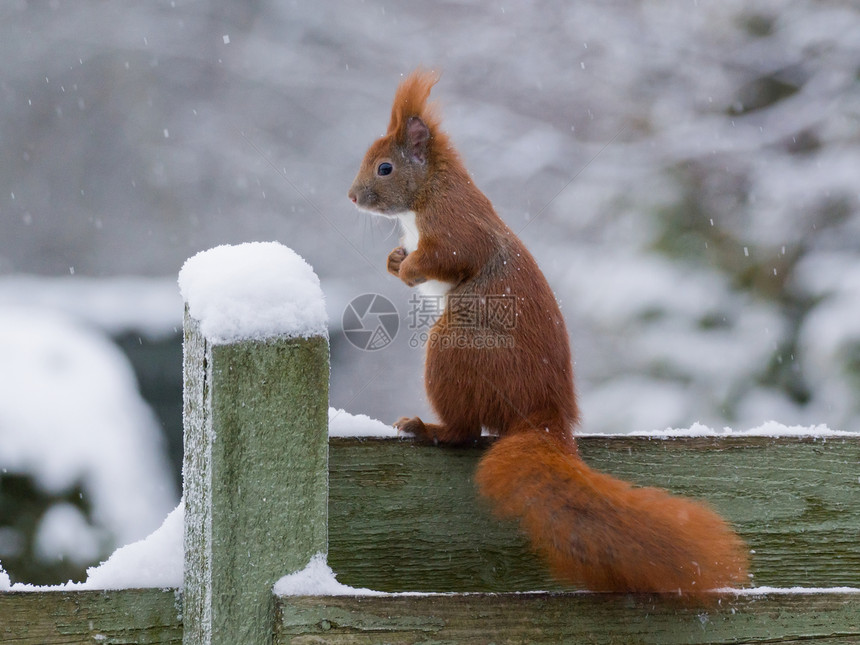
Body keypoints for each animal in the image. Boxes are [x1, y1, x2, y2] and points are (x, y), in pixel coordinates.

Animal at [346, 69, 748, 592]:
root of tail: (545, 416)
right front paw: (396, 261)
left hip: (456, 346)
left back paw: (426, 428)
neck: (428, 192)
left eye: (385, 168)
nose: (352, 196)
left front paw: (410, 266)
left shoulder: (455, 223)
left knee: (465, 431)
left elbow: (454, 255)